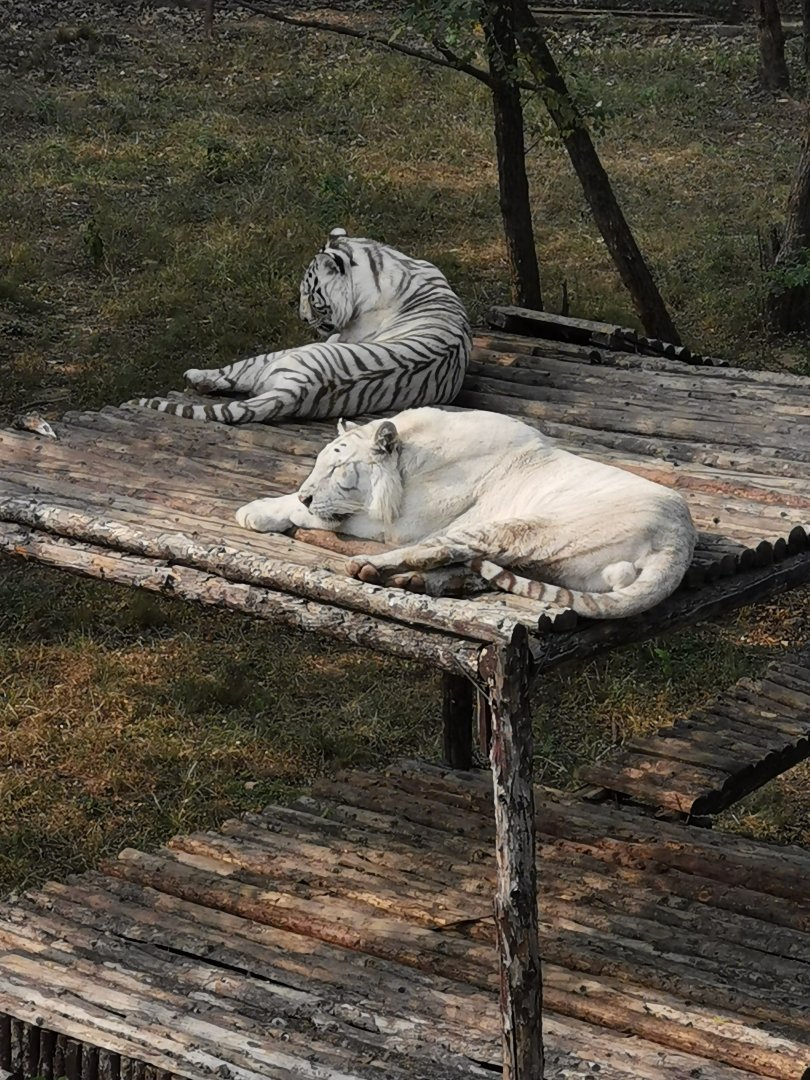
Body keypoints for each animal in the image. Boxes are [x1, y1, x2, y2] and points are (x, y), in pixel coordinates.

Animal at [125, 229, 471, 424]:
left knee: (231, 374)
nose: (302, 318)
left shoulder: (340, 335)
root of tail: (296, 389)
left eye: (311, 297)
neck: (384, 263)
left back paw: (196, 376)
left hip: (276, 357)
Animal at [235, 407, 697, 619]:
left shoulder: (400, 524)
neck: (409, 458)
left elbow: (326, 513)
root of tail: (679, 539)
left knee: (437, 551)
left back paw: (367, 566)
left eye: (337, 469)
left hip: (516, 527)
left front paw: (258, 510)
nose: (308, 494)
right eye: (317, 464)